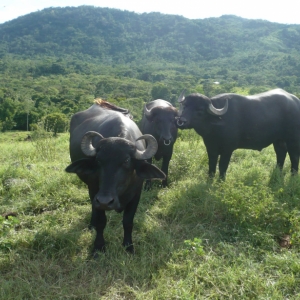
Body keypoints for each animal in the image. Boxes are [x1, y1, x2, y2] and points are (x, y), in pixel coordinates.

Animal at [65, 99, 166, 254]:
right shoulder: (95, 192)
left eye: (126, 161)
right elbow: (101, 221)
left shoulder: (136, 194)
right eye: (98, 160)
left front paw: (129, 246)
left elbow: (128, 221)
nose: (105, 201)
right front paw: (98, 247)